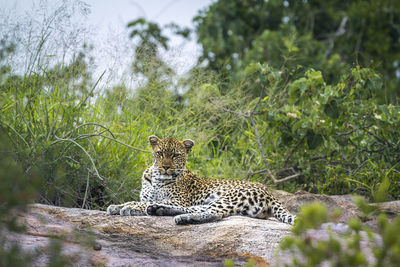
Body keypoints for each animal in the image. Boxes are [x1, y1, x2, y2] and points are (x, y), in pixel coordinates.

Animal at [107, 136, 296, 226]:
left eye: (175, 155)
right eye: (160, 153)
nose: (166, 167)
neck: (156, 177)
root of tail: (270, 193)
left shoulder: (178, 199)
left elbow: (142, 203)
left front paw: (129, 208)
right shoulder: (155, 197)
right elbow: (137, 200)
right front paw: (118, 206)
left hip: (230, 197)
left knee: (214, 214)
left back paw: (182, 218)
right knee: (198, 208)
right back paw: (159, 210)